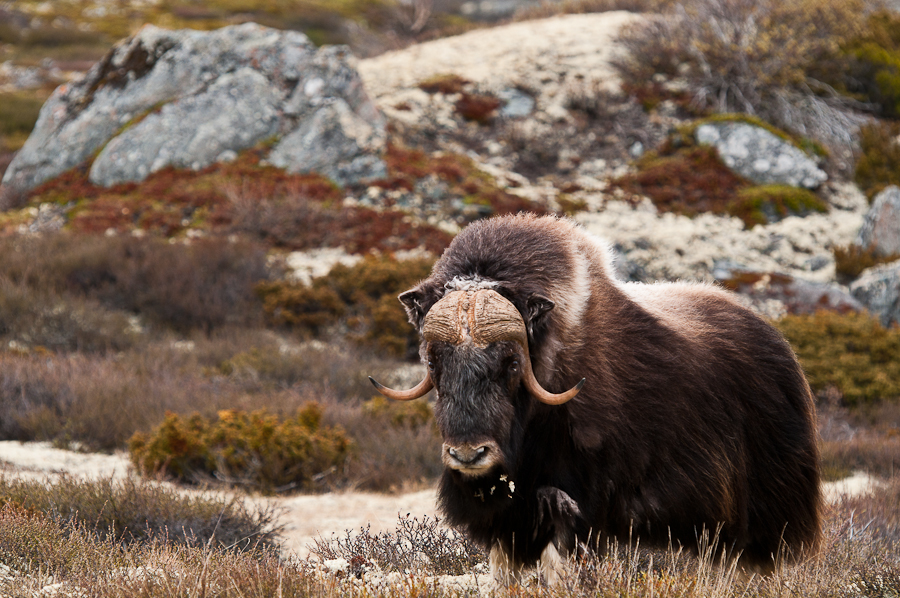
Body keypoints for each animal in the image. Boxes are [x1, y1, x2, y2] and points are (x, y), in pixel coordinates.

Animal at [369, 213, 822, 584]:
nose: (468, 454)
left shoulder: (575, 505)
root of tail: (781, 345)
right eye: (434, 361)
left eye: (512, 362)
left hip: (767, 513)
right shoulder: (510, 523)